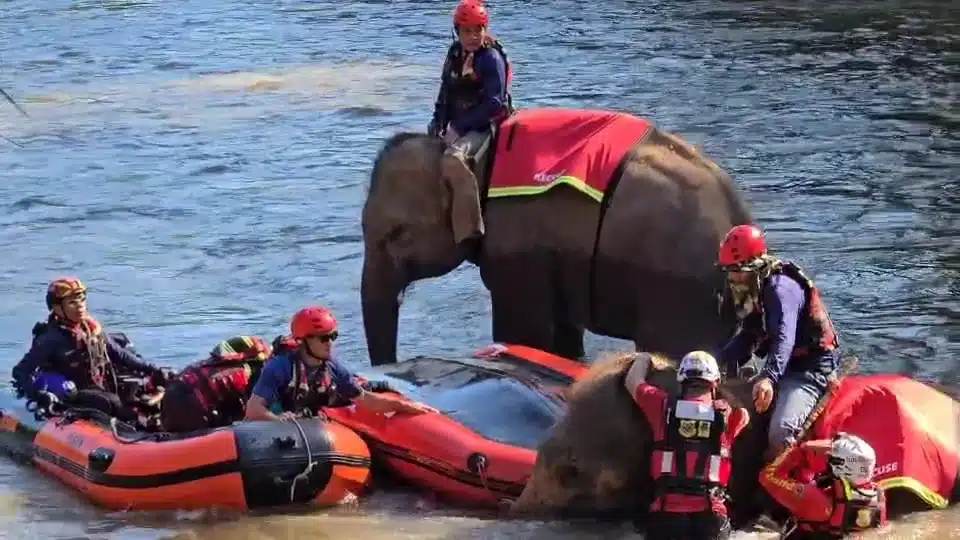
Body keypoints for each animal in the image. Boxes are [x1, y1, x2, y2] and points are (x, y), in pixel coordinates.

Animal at [360, 107, 753, 366]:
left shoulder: (517, 243)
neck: (472, 153)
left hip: (677, 295)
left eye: (396, 233)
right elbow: (563, 336)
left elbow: (523, 334)